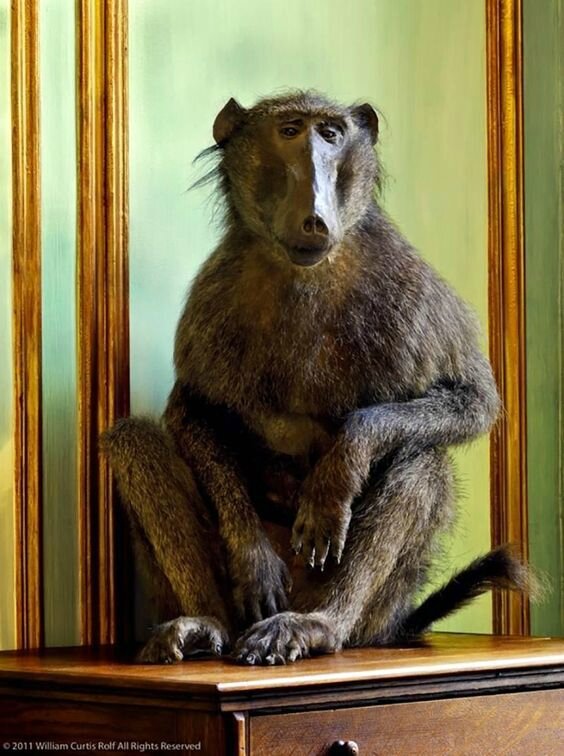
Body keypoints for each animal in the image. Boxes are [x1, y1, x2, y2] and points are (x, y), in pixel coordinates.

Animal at [101, 90, 531, 666]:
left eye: (330, 134)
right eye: (289, 130)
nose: (314, 219)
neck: (304, 273)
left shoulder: (408, 282)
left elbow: (474, 400)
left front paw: (339, 470)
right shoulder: (216, 289)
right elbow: (192, 410)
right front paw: (252, 554)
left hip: (370, 609)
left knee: (424, 459)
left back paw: (317, 626)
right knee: (132, 442)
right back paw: (205, 624)